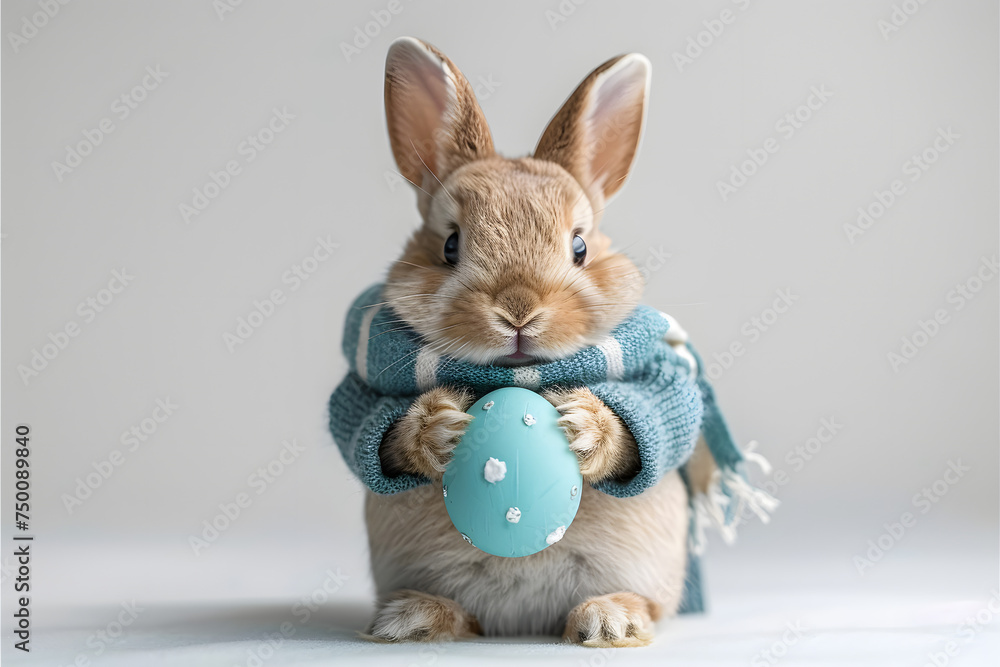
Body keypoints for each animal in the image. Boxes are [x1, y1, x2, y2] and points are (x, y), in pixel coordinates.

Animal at [362, 36, 707, 647]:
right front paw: (441, 428)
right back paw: (414, 619)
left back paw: (608, 621)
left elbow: (655, 422)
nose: (518, 310)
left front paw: (583, 426)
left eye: (579, 248)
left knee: (647, 603)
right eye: (450, 246)